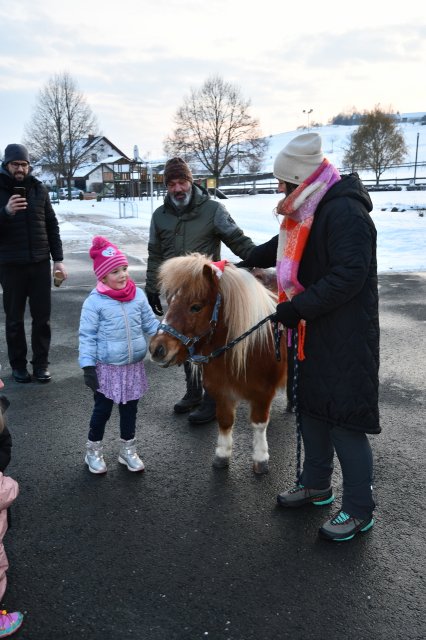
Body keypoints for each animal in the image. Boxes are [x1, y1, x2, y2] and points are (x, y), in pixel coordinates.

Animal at [149, 252, 286, 472]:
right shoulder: (221, 390)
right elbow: (224, 421)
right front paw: (222, 454)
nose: (157, 349)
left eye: (196, 307)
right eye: (169, 301)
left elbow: (258, 424)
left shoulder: (263, 393)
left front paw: (260, 458)